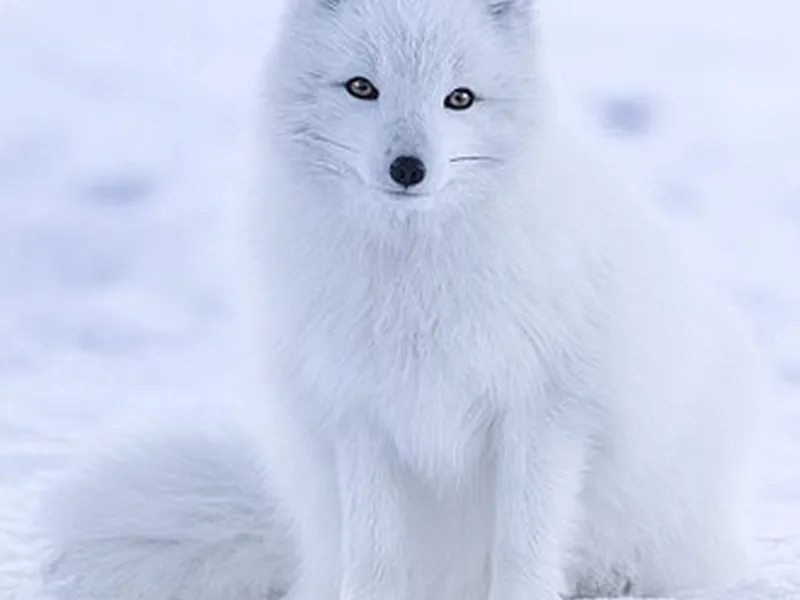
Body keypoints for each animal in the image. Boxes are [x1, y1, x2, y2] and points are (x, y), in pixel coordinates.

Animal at [32, 0, 765, 599]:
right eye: (363, 87)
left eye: (459, 98)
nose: (408, 168)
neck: (414, 277)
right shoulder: (360, 414)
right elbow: (376, 557)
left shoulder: (545, 412)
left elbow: (523, 550)